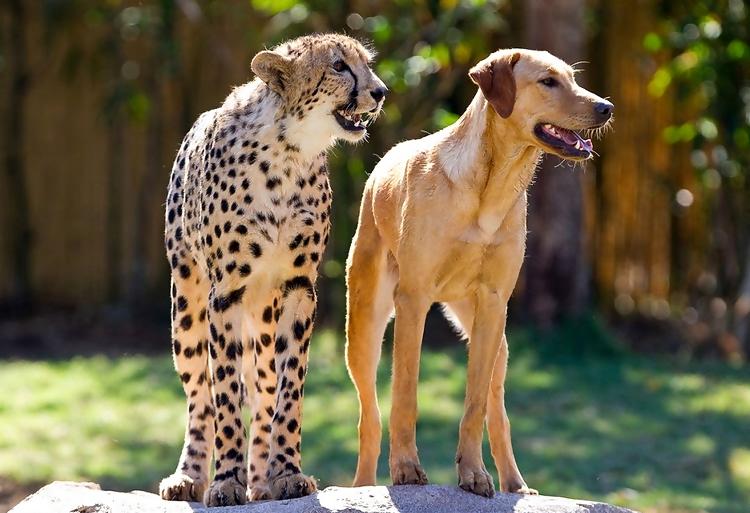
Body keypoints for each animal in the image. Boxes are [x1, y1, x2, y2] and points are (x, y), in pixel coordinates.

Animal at [157, 34, 382, 506]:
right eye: (339, 66)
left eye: (367, 64)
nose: (381, 91)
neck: (288, 152)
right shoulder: (225, 292)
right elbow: (223, 394)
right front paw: (226, 480)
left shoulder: (298, 287)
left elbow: (288, 390)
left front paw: (286, 473)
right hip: (186, 305)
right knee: (198, 396)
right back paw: (189, 476)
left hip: (262, 315)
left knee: (262, 391)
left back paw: (260, 481)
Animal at [346, 49, 616, 496]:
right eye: (548, 81)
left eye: (573, 79)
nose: (606, 107)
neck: (490, 187)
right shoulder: (413, 301)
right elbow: (405, 395)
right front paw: (406, 468)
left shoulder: (493, 304)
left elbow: (474, 407)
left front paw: (473, 473)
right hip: (365, 330)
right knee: (370, 417)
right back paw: (363, 486)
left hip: (496, 342)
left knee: (498, 412)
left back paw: (515, 484)